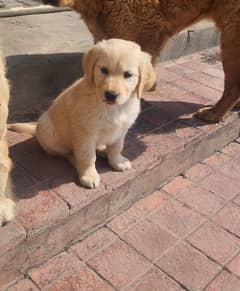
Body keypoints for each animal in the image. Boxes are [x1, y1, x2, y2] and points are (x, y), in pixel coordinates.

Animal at [8, 38, 156, 189]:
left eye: (128, 75)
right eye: (104, 70)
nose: (111, 95)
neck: (112, 109)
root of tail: (36, 131)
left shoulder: (121, 131)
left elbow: (116, 148)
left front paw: (117, 161)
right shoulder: (85, 134)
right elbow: (87, 156)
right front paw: (88, 175)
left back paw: (103, 151)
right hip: (49, 132)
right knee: (67, 153)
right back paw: (76, 160)